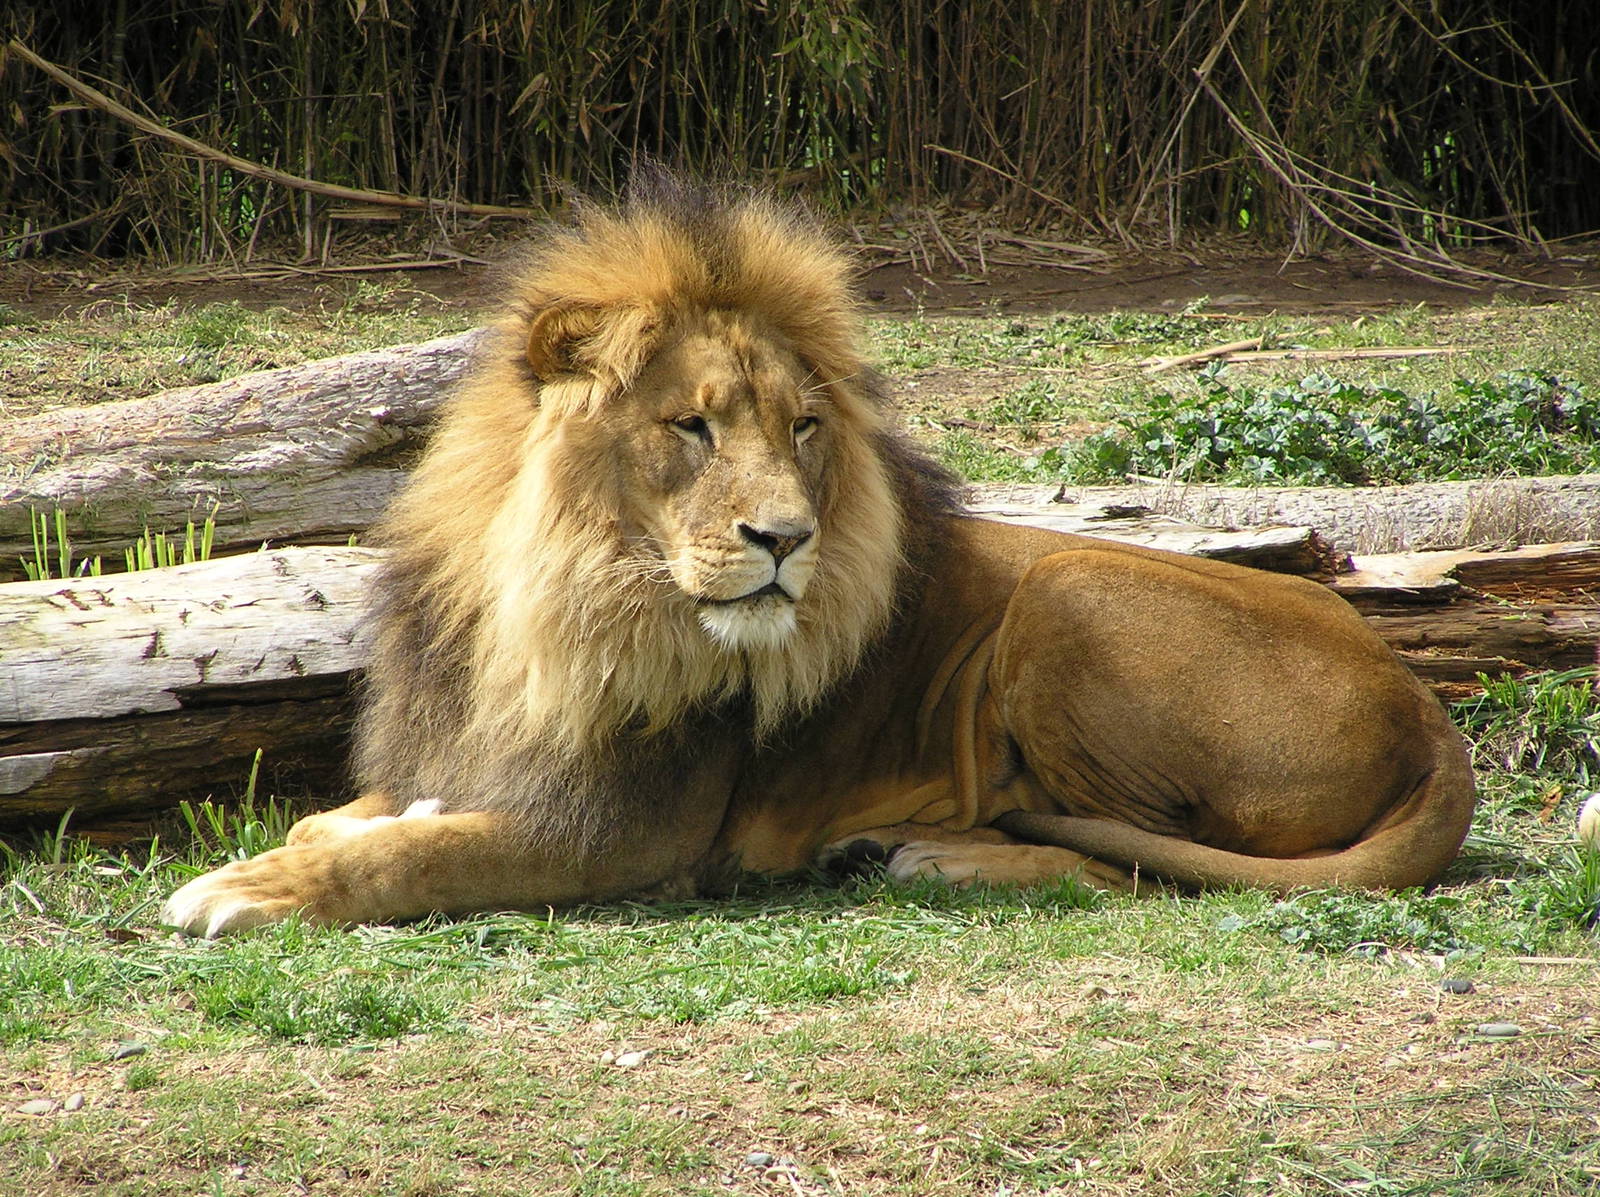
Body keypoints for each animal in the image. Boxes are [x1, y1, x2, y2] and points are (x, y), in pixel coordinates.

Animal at [163, 174, 1476, 936]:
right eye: (691, 427)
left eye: (802, 427)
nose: (785, 537)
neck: (548, 600)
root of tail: (1430, 717)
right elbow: (358, 822)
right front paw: (319, 841)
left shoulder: (620, 837)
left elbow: (412, 860)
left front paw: (253, 888)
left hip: (1067, 589)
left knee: (1140, 865)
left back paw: (934, 861)